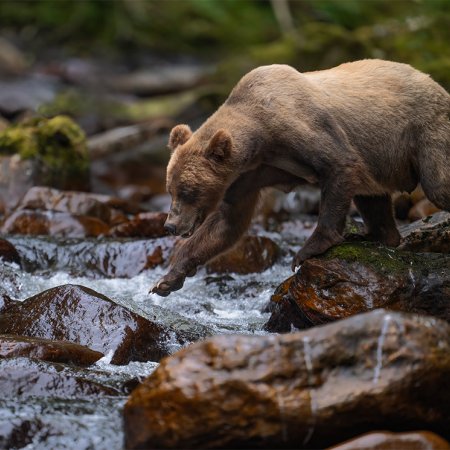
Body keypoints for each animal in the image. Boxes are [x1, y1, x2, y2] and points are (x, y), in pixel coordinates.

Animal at [151, 60, 450, 298]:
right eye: (171, 189)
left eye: (189, 190)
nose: (170, 225)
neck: (261, 139)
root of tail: (435, 83)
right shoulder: (251, 173)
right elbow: (227, 222)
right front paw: (167, 280)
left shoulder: (301, 127)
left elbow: (340, 164)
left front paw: (306, 251)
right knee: (372, 199)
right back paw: (378, 236)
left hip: (423, 130)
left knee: (438, 184)